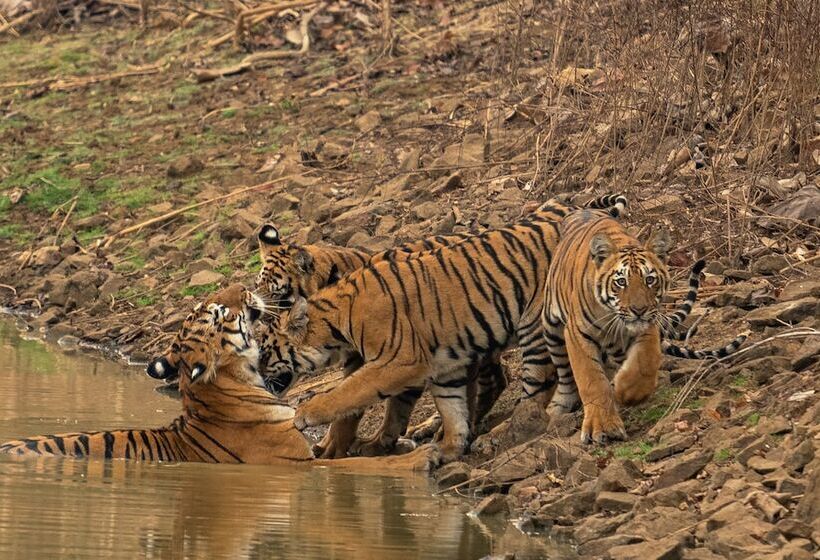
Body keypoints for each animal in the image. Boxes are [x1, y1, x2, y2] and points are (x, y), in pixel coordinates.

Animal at [541, 209, 748, 444]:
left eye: (650, 280)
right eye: (621, 282)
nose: (638, 310)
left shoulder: (647, 328)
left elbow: (644, 364)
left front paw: (628, 393)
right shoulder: (578, 334)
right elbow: (591, 379)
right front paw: (601, 427)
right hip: (551, 328)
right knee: (565, 372)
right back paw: (559, 406)